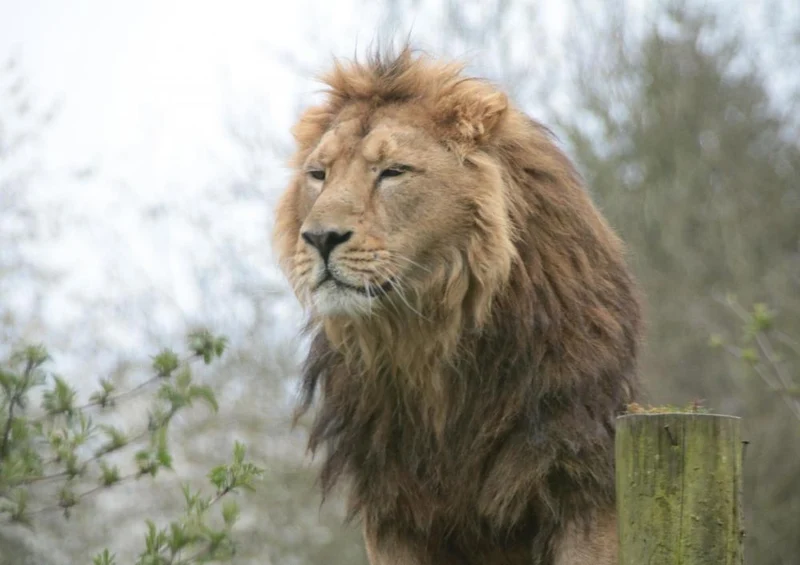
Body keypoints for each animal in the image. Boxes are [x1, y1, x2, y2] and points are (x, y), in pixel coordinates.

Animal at [272, 46, 642, 565]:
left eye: (393, 172)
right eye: (318, 175)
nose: (320, 238)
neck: (427, 339)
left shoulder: (580, 478)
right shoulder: (392, 508)